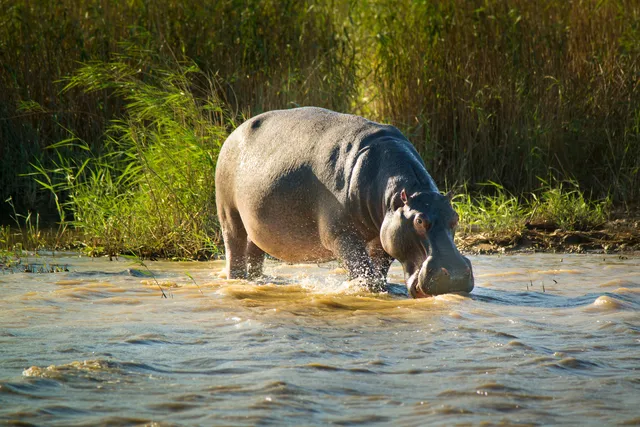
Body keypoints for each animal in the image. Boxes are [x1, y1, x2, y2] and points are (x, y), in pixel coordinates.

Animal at [215, 107, 473, 297]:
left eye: (455, 217)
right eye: (419, 221)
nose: (456, 276)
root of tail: (235, 131)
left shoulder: (383, 235)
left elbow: (377, 268)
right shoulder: (340, 235)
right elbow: (362, 268)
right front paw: (363, 290)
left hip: (257, 224)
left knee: (254, 250)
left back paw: (258, 280)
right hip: (229, 213)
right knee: (234, 247)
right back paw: (237, 280)